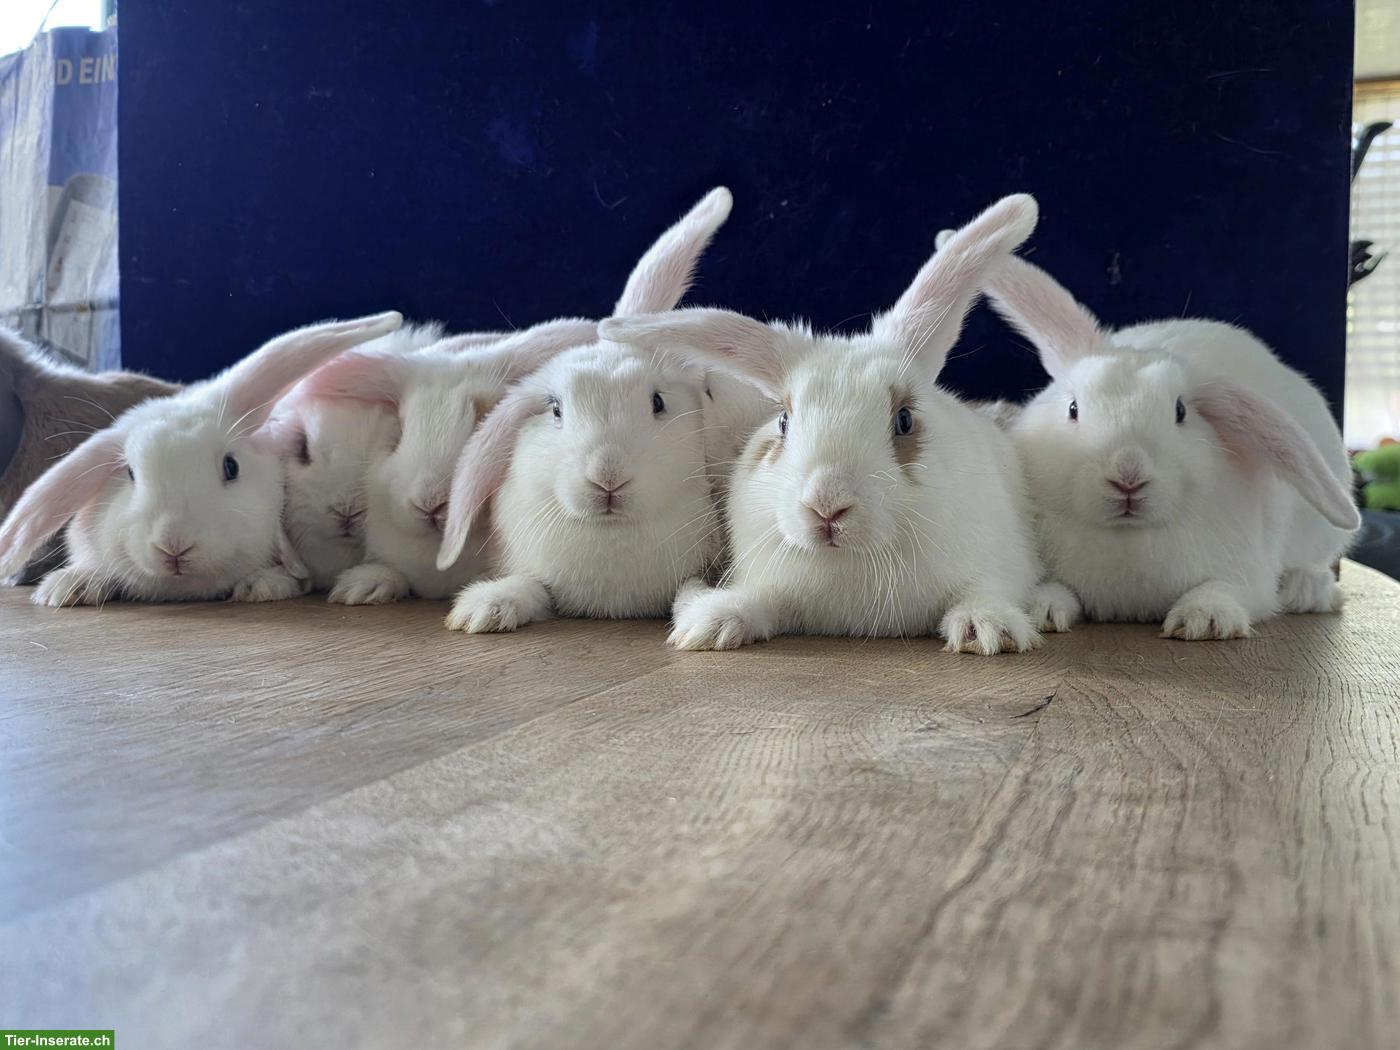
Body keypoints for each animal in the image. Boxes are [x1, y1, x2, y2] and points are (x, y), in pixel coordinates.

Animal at [436, 186, 755, 634]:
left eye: (658, 403)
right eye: (555, 410)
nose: (607, 477)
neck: (611, 534)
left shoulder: (696, 569)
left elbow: (689, 589)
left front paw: (706, 622)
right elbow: (531, 586)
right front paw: (483, 610)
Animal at [596, 193, 1047, 654]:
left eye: (904, 420)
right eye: (783, 420)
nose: (826, 507)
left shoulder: (1001, 561)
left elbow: (985, 590)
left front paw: (986, 630)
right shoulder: (772, 585)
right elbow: (756, 601)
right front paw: (709, 624)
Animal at [960, 245, 1360, 639]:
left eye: (1180, 412)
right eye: (1073, 408)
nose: (1128, 475)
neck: (1127, 538)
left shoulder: (1250, 580)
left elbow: (1223, 589)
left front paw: (1203, 620)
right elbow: (1056, 589)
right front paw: (1041, 610)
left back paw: (1305, 589)